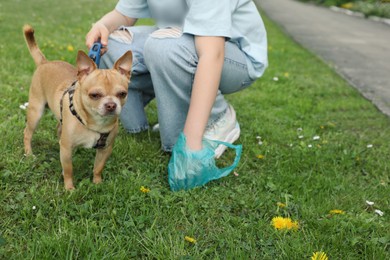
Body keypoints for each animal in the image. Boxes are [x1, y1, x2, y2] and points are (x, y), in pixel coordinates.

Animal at [22, 24, 133, 191]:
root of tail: (44, 62)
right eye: (94, 95)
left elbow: (98, 167)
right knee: (27, 133)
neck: (96, 124)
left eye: (122, 94)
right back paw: (29, 154)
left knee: (58, 129)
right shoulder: (67, 149)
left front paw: (97, 183)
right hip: (36, 112)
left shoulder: (105, 149)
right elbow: (69, 170)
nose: (111, 105)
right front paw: (69, 189)